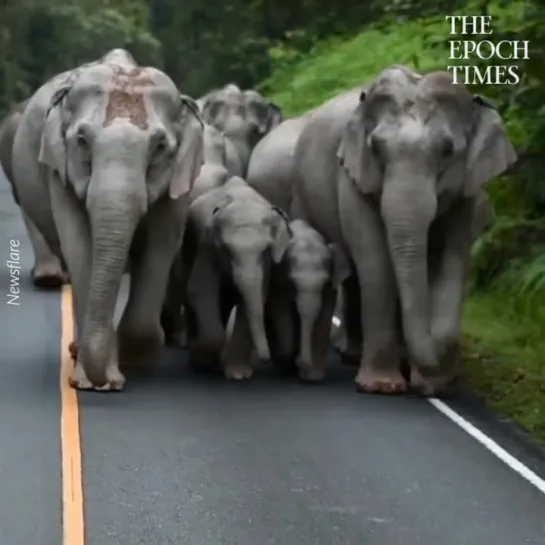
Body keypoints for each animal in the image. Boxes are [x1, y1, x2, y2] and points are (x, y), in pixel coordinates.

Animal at [12, 49, 204, 392]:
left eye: (160, 147)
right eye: (82, 140)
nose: (102, 381)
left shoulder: (179, 177)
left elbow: (162, 244)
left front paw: (133, 359)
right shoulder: (59, 170)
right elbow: (80, 246)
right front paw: (95, 383)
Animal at [176, 175, 292, 378]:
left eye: (266, 250)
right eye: (226, 250)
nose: (267, 358)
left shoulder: (266, 266)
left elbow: (256, 298)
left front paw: (239, 375)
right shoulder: (206, 245)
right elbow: (200, 288)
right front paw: (207, 363)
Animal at [266, 219, 350, 380]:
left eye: (324, 282)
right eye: (292, 282)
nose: (301, 362)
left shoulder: (330, 285)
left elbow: (323, 315)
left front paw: (313, 377)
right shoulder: (278, 275)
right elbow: (281, 307)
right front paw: (288, 357)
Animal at [288, 66, 516, 396]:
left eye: (448, 150)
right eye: (375, 148)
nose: (436, 380)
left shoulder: (467, 193)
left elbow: (450, 259)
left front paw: (431, 383)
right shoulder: (352, 176)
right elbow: (376, 260)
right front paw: (383, 386)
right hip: (303, 199)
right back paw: (354, 357)